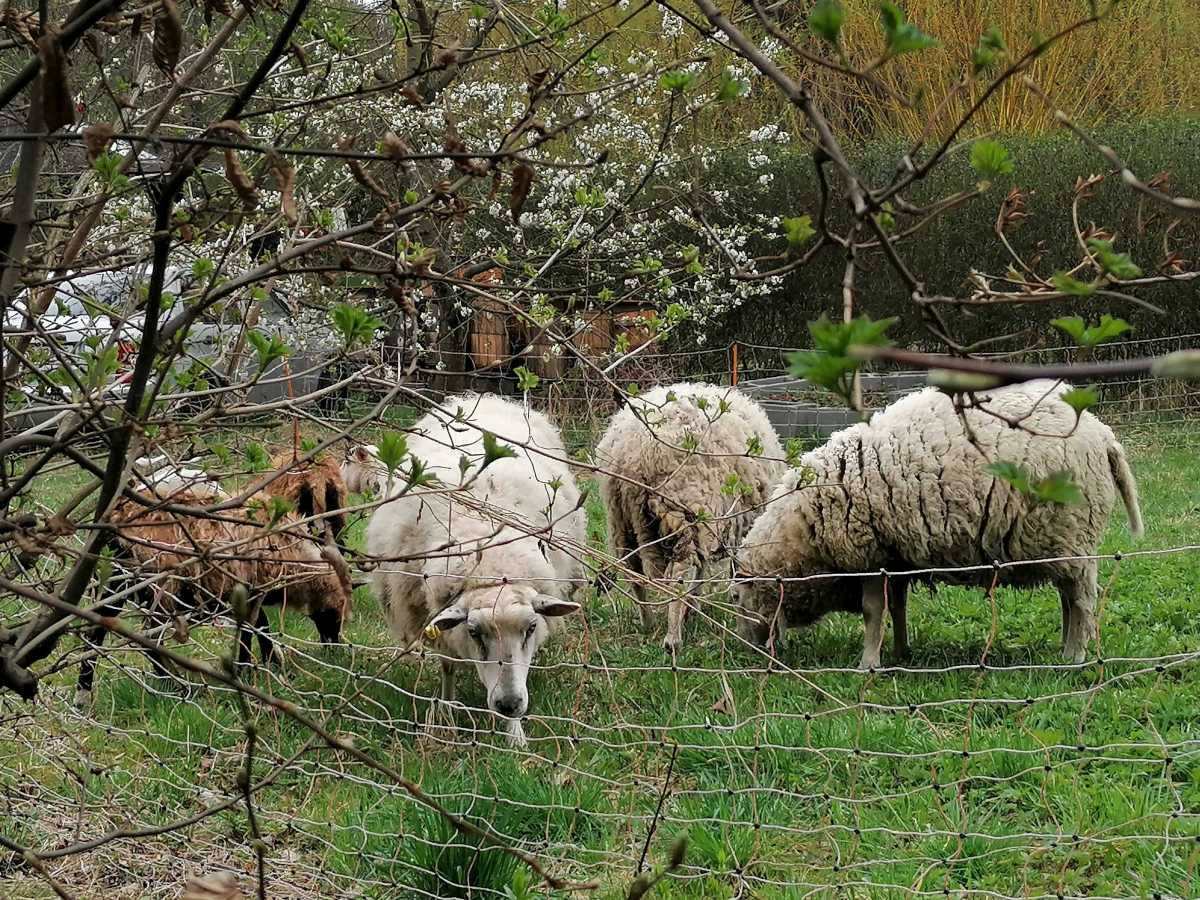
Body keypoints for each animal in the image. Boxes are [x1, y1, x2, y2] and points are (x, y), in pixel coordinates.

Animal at [76, 487, 350, 705]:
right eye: (334, 617)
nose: (334, 648)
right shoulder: (251, 588)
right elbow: (255, 627)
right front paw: (254, 666)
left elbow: (258, 625)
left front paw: (267, 663)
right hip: (161, 586)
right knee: (149, 637)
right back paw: (177, 685)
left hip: (118, 579)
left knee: (97, 631)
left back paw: (83, 693)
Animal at [367, 393, 588, 748]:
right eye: (474, 632)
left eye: (530, 628)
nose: (509, 704)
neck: (490, 565)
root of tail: (481, 397)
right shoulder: (437, 621)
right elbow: (447, 666)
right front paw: (446, 712)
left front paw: (515, 736)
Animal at [592, 384, 782, 652]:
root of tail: (635, 453)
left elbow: (702, 568)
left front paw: (694, 605)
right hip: (683, 508)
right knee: (677, 577)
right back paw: (672, 639)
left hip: (620, 518)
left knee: (633, 572)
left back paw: (647, 621)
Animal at [729, 381, 1142, 672]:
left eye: (735, 597)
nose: (747, 651)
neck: (805, 532)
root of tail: (1103, 435)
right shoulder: (895, 557)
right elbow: (897, 607)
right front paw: (901, 651)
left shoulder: (869, 554)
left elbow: (872, 612)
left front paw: (868, 663)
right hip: (1060, 540)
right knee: (1067, 596)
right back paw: (1065, 646)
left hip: (1072, 531)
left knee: (1082, 599)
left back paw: (1074, 655)